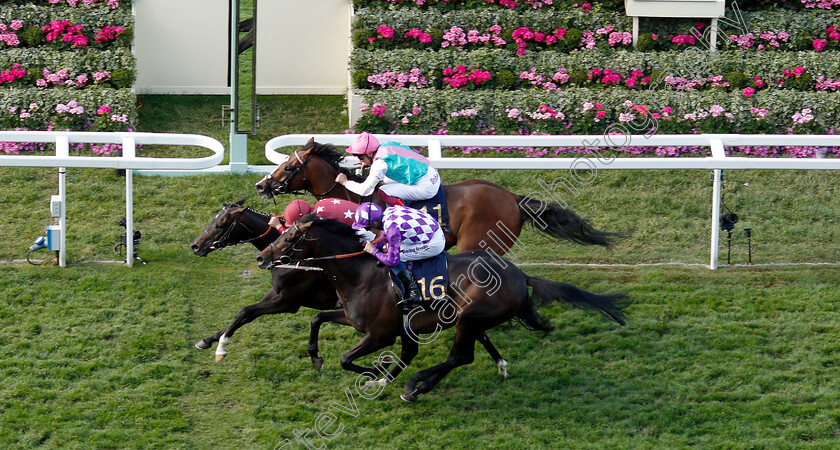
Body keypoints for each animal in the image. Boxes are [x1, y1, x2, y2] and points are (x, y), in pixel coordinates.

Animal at [188, 200, 508, 376]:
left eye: (220, 225)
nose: (195, 245)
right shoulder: (279, 295)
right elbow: (242, 314)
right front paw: (209, 340)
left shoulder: (287, 301)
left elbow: (245, 312)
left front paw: (221, 348)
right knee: (477, 332)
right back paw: (500, 362)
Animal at [256, 216, 632, 402]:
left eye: (289, 238)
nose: (262, 257)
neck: (360, 273)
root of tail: (520, 275)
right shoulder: (354, 318)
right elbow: (317, 318)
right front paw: (317, 358)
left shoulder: (380, 334)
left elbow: (349, 359)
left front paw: (374, 377)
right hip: (474, 319)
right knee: (468, 352)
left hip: (468, 317)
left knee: (460, 356)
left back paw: (416, 386)